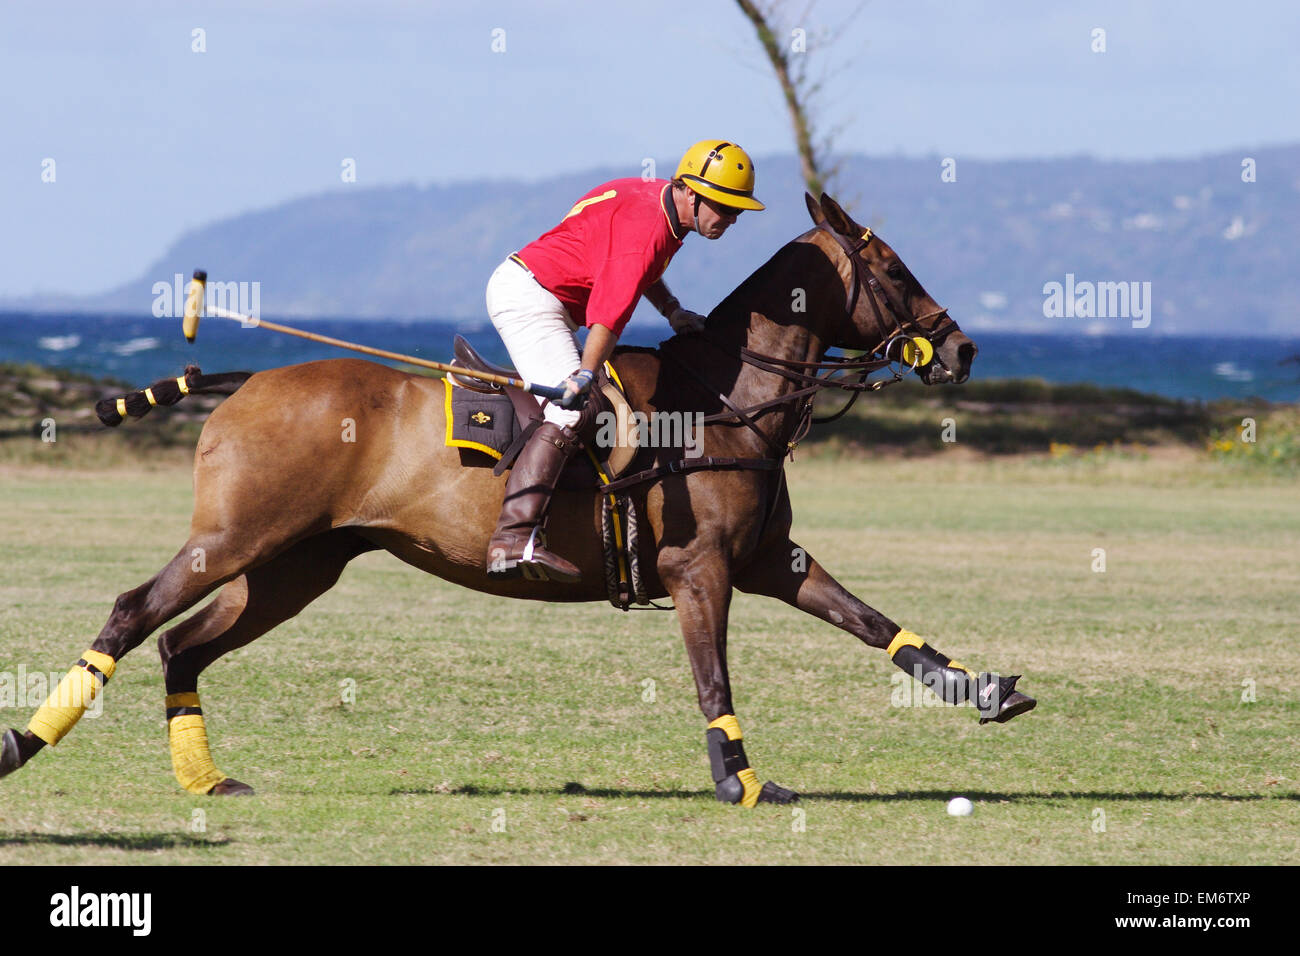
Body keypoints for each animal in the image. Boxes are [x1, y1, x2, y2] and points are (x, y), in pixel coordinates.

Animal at [0, 195, 1034, 806]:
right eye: (893, 268)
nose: (962, 347)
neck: (724, 399)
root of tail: (246, 380)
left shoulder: (767, 561)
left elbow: (873, 623)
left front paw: (987, 690)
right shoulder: (698, 569)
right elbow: (714, 678)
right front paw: (741, 782)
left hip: (296, 566)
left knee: (183, 644)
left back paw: (208, 781)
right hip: (237, 536)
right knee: (134, 611)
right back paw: (23, 743)